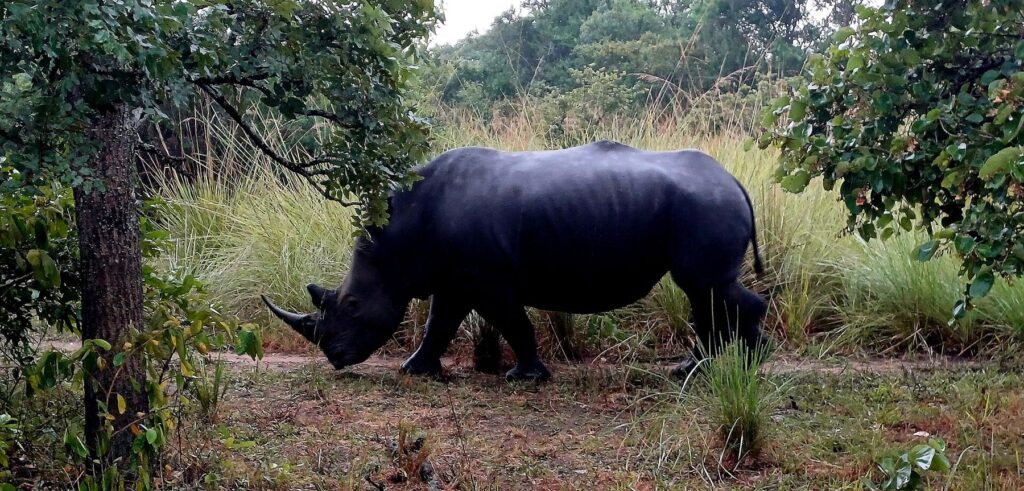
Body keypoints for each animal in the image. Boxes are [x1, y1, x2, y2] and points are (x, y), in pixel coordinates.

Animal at [262, 141, 768, 381]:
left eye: (351, 305)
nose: (335, 357)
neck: (393, 240)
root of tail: (734, 180)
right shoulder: (455, 278)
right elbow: (439, 323)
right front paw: (414, 371)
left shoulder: (487, 278)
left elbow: (511, 322)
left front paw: (524, 378)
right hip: (701, 202)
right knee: (704, 291)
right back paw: (699, 369)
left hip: (704, 204)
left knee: (705, 285)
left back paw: (741, 366)